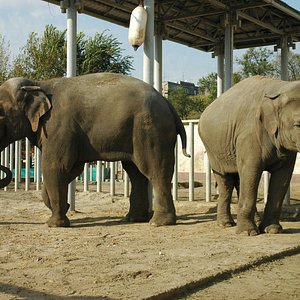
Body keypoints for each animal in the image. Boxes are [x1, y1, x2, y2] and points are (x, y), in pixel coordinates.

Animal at [0, 72, 188, 227]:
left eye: (0, 115)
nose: (68, 205)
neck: (38, 84)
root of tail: (167, 103)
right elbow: (70, 169)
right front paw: (64, 207)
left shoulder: (59, 129)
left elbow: (55, 167)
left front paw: (54, 224)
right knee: (136, 174)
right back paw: (133, 219)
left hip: (151, 129)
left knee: (154, 171)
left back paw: (158, 223)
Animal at [199, 76, 300, 236]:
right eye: (298, 125)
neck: (279, 88)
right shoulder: (249, 135)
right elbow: (251, 171)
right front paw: (248, 233)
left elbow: (282, 177)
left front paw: (273, 230)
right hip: (213, 149)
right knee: (226, 181)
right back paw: (226, 224)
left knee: (240, 180)